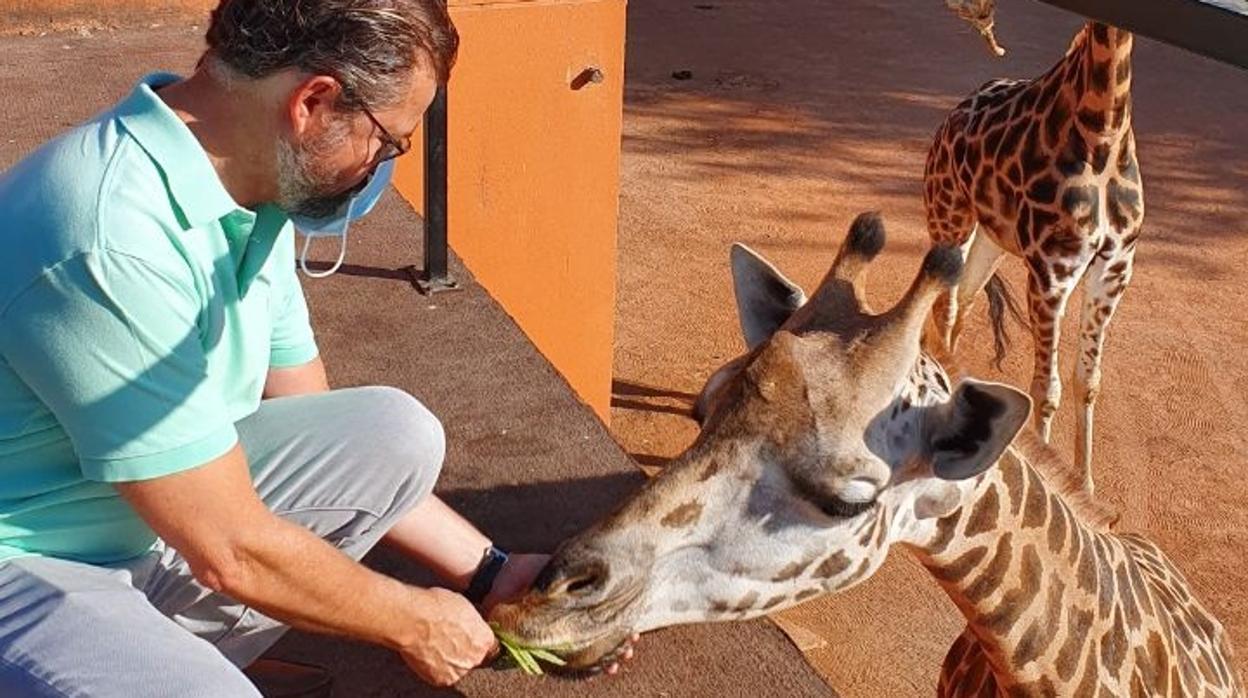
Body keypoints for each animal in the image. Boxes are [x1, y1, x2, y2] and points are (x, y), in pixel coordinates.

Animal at [923, 17, 1143, 496]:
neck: (1103, 128)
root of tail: (951, 116)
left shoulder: (1115, 267)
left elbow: (1087, 381)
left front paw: (1087, 485)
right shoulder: (1050, 272)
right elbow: (1046, 388)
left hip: (990, 239)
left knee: (963, 305)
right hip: (949, 217)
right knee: (943, 311)